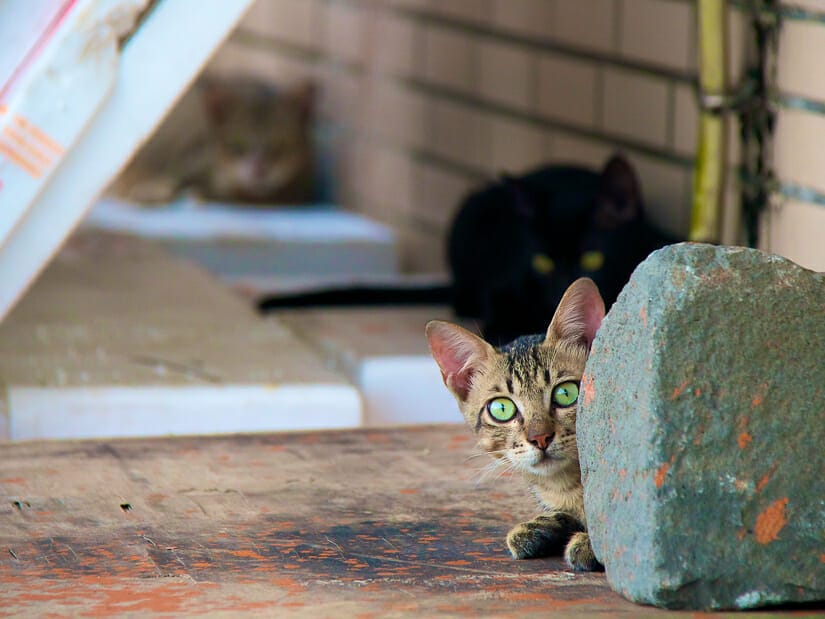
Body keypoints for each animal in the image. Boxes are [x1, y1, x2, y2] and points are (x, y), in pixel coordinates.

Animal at [109, 76, 316, 205]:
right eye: (238, 143)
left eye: (281, 143)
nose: (259, 168)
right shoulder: (190, 159)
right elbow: (174, 178)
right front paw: (153, 190)